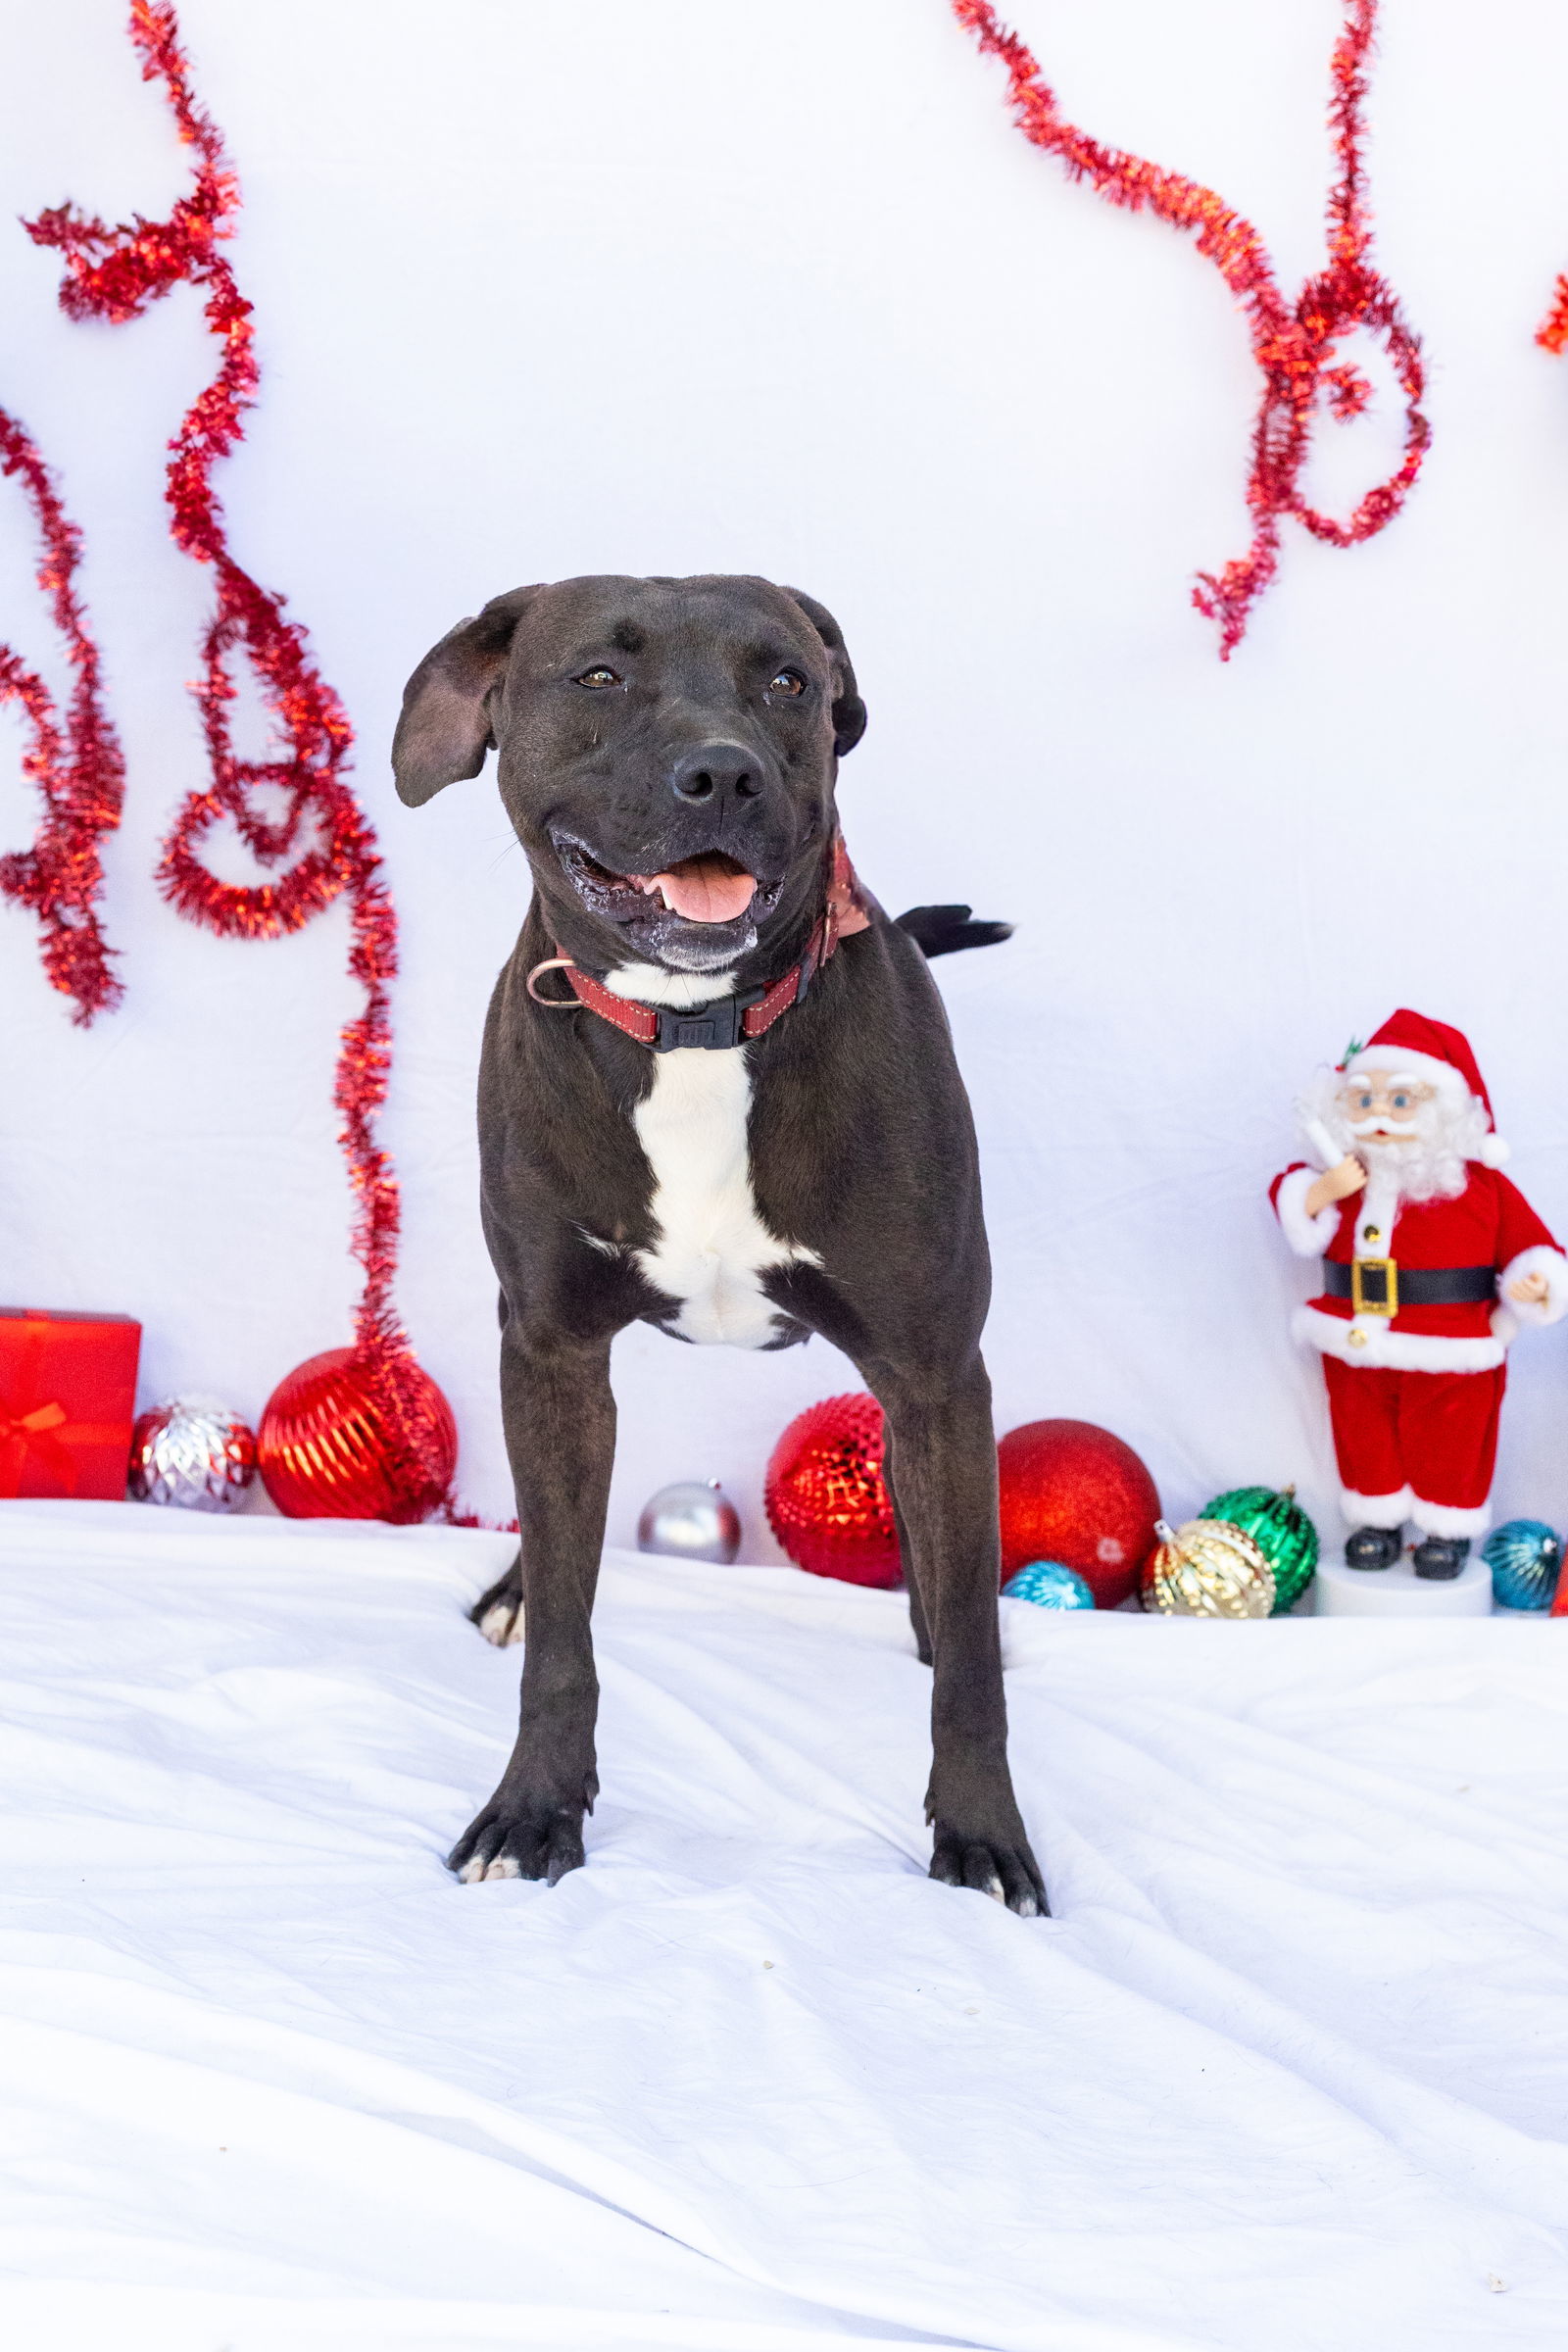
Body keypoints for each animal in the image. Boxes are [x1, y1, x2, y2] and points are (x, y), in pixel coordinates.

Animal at [399, 568, 1048, 1909]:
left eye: (787, 681)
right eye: (599, 676)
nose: (723, 773)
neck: (693, 1028)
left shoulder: (935, 1371)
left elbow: (969, 1662)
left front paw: (982, 1836)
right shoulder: (547, 1353)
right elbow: (566, 1638)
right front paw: (531, 1810)